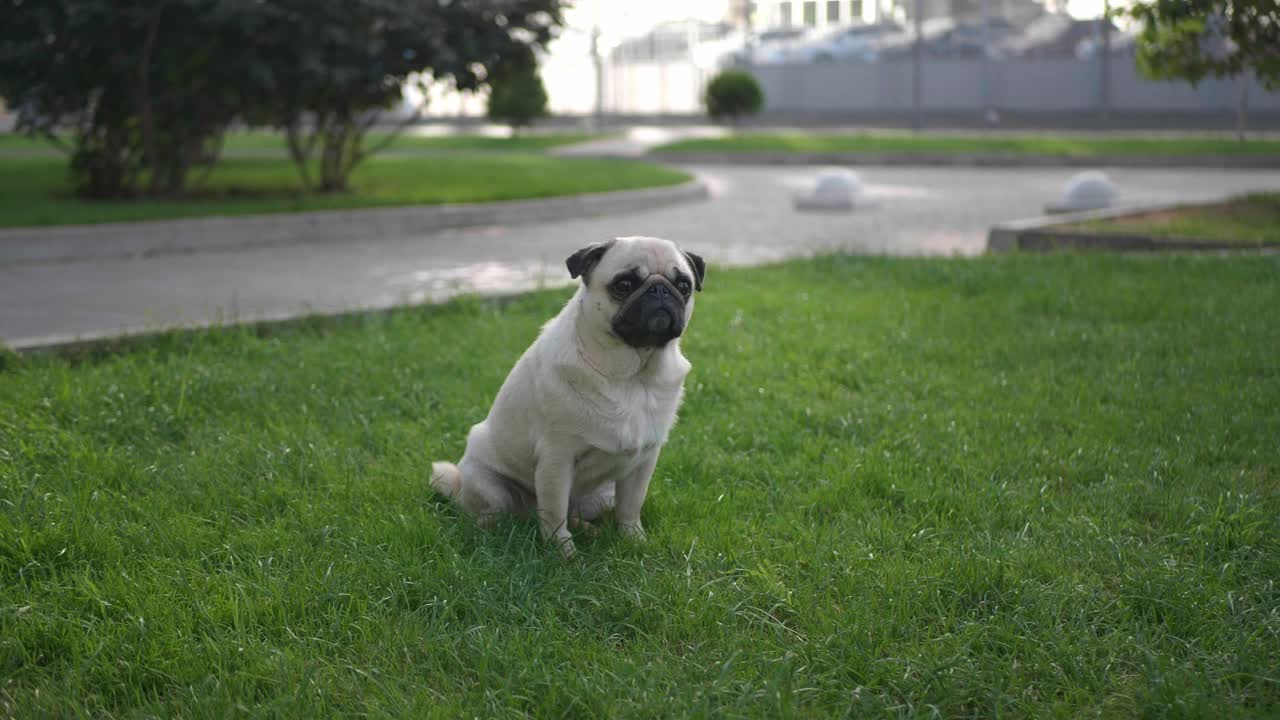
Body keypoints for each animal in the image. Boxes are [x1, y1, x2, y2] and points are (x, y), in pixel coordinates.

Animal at [435, 235, 706, 556]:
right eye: (624, 284)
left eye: (683, 285)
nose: (660, 289)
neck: (633, 375)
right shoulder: (557, 459)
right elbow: (554, 513)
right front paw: (563, 553)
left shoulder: (644, 462)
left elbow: (631, 505)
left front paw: (634, 539)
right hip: (490, 486)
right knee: (503, 512)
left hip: (603, 494)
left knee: (574, 511)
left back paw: (587, 529)